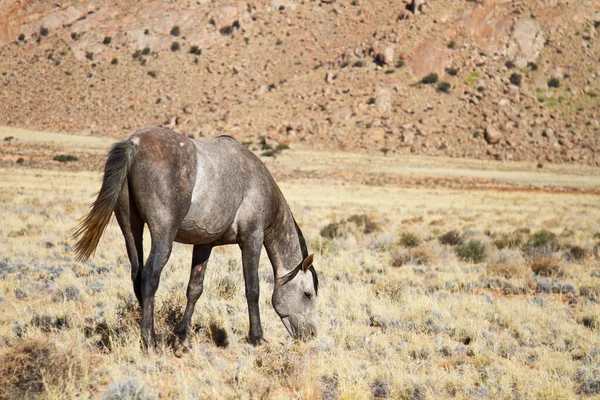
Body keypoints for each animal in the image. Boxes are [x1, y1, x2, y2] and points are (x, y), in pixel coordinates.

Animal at [73, 127, 318, 350]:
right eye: (307, 294)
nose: (311, 335)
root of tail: (134, 143)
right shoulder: (252, 240)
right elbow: (253, 289)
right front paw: (257, 337)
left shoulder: (204, 244)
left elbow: (194, 289)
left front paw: (181, 338)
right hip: (163, 234)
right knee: (149, 276)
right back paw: (150, 339)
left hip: (131, 229)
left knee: (136, 275)